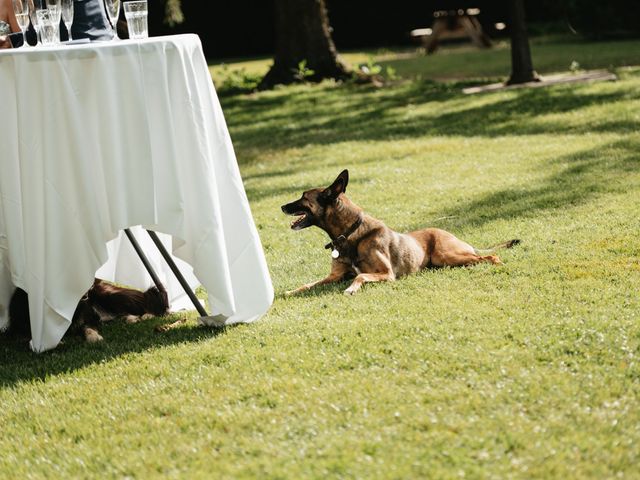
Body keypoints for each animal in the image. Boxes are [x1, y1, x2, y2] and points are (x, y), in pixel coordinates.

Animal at [280, 169, 520, 296]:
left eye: (304, 197)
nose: (281, 206)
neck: (349, 234)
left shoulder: (386, 274)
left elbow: (360, 275)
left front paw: (351, 289)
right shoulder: (334, 276)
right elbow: (308, 284)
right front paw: (291, 292)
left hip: (447, 255)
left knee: (490, 256)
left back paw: (499, 264)